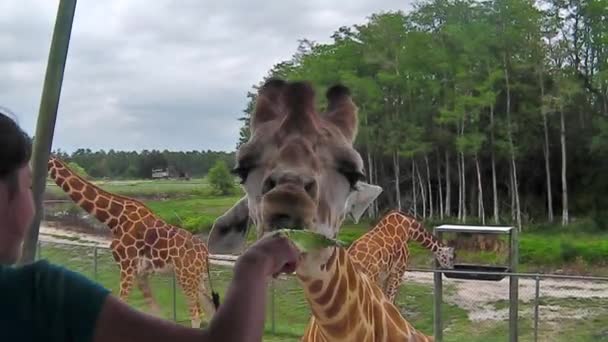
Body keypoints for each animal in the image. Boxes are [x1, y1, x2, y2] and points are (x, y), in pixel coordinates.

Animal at [48, 156, 217, 328]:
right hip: (198, 277)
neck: (114, 219)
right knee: (210, 309)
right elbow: (155, 312)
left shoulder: (127, 265)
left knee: (196, 314)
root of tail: (204, 252)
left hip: (186, 276)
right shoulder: (140, 274)